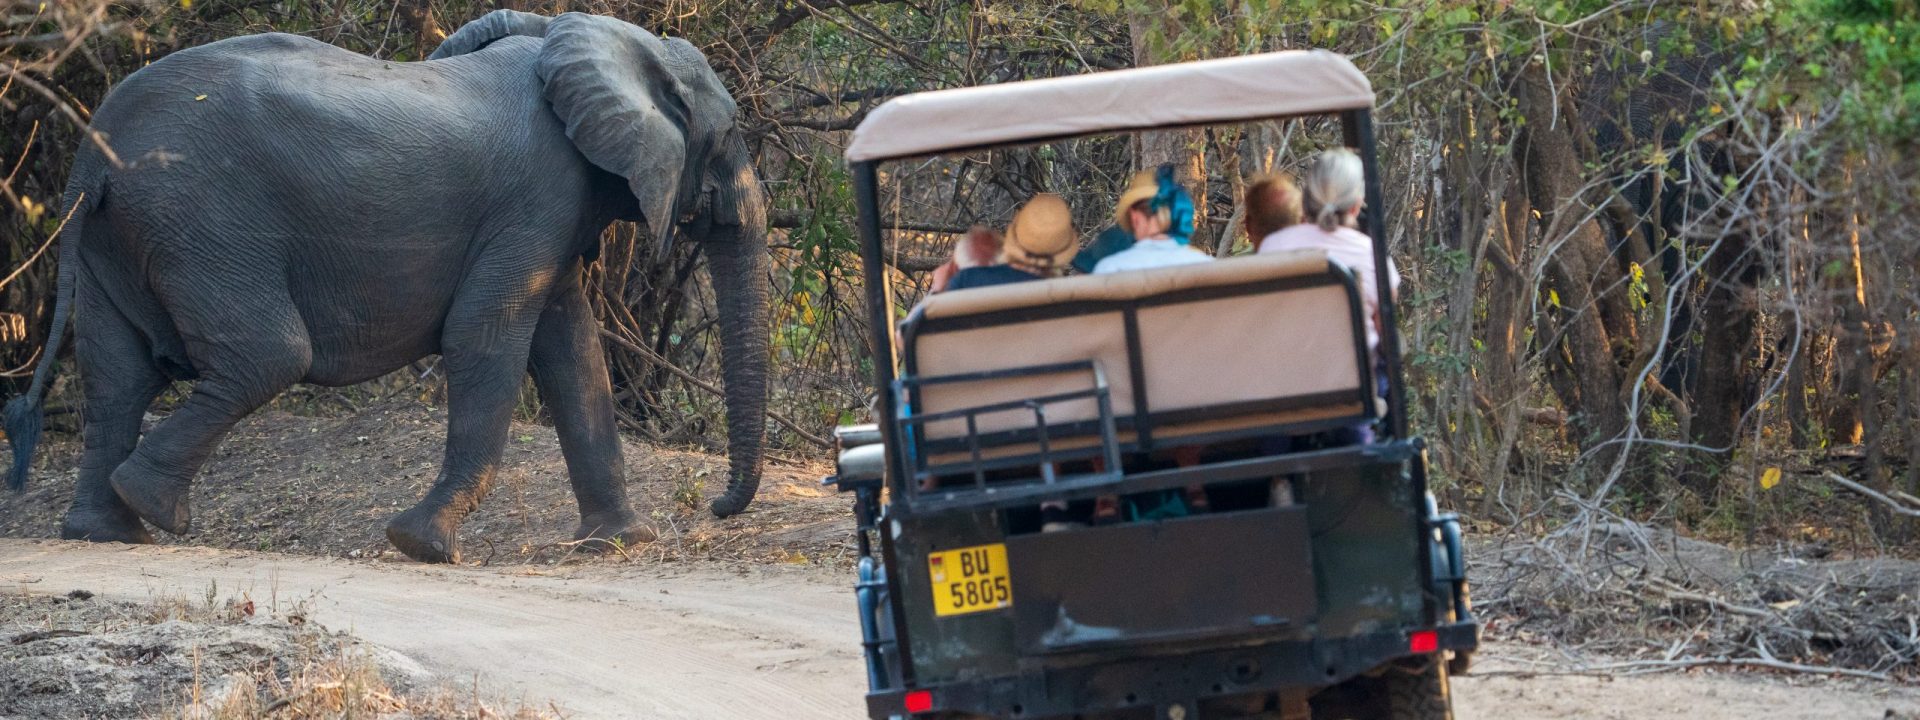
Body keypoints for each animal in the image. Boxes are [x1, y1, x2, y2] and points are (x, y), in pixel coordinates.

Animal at [9, 9, 771, 564]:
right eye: (731, 134)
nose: (717, 506)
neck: (613, 40)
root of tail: (90, 157)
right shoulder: (537, 198)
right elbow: (487, 335)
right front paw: (422, 547)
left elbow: (571, 350)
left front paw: (619, 543)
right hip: (199, 219)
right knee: (267, 356)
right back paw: (152, 510)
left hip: (121, 233)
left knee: (118, 377)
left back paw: (108, 531)